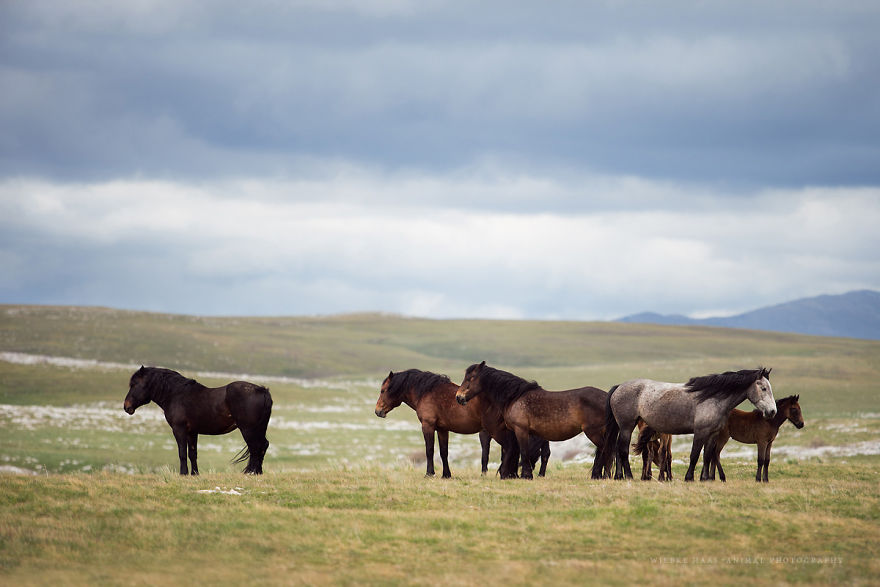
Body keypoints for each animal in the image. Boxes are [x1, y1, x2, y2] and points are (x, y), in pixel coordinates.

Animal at [123, 366, 273, 475]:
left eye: (134, 384)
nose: (126, 406)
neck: (176, 395)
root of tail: (261, 390)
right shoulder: (192, 432)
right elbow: (192, 454)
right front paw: (194, 474)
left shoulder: (179, 430)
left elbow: (182, 453)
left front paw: (183, 474)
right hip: (259, 429)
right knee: (263, 445)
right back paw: (258, 473)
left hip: (248, 429)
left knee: (255, 448)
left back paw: (252, 473)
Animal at [376, 369, 521, 478]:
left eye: (383, 390)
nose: (377, 411)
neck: (426, 392)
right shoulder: (442, 429)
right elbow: (443, 452)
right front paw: (446, 474)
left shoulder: (428, 426)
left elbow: (429, 450)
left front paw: (429, 473)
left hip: (496, 431)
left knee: (510, 447)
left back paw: (505, 474)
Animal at [455, 361, 610, 479]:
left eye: (471, 378)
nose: (459, 397)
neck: (515, 397)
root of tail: (608, 397)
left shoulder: (521, 430)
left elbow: (524, 453)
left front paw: (526, 475)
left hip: (593, 432)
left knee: (606, 450)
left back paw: (604, 475)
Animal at [599, 367, 776, 482]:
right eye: (763, 388)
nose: (772, 412)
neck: (713, 398)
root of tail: (619, 387)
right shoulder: (700, 432)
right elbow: (694, 455)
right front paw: (689, 477)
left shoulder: (713, 434)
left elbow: (707, 456)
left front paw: (705, 479)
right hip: (627, 426)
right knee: (622, 449)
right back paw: (627, 476)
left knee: (618, 448)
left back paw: (619, 476)